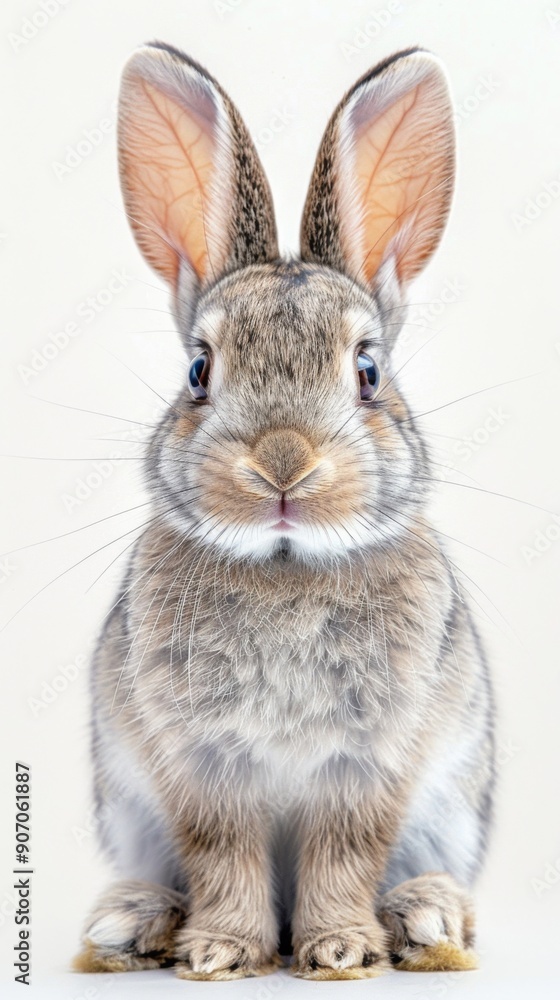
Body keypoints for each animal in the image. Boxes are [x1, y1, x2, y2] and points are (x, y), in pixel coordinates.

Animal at [73, 43, 495, 981]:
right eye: (199, 371)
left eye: (368, 372)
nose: (283, 462)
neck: (286, 566)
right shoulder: (202, 766)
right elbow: (223, 856)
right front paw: (223, 953)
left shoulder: (367, 767)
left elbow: (344, 853)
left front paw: (336, 949)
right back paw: (129, 924)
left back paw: (425, 920)